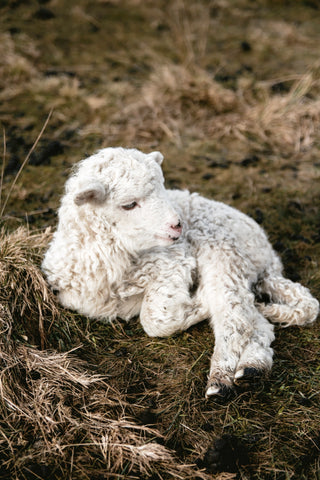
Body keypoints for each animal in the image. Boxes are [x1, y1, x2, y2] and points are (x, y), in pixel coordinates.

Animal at [42, 147, 318, 398]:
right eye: (129, 204)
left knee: (233, 314)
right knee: (255, 321)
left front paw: (199, 303)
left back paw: (221, 380)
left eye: (163, 189)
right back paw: (252, 368)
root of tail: (269, 259)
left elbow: (155, 320)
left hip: (223, 249)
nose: (177, 225)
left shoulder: (173, 261)